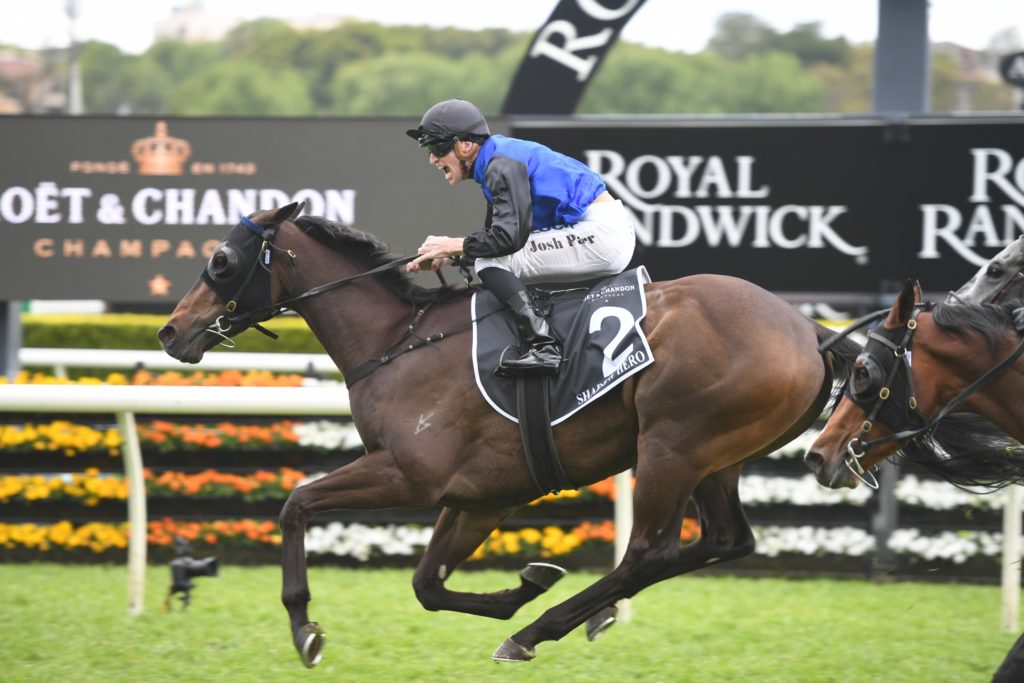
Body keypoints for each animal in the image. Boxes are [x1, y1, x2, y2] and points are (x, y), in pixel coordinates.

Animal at [158, 203, 861, 667]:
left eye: (221, 260)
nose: (170, 331)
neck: (398, 341)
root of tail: (809, 330)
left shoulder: (411, 474)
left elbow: (296, 503)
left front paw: (304, 625)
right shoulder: (481, 495)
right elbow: (427, 585)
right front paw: (526, 583)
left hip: (672, 446)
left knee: (650, 551)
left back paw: (541, 630)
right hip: (716, 457)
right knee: (725, 539)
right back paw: (570, 615)